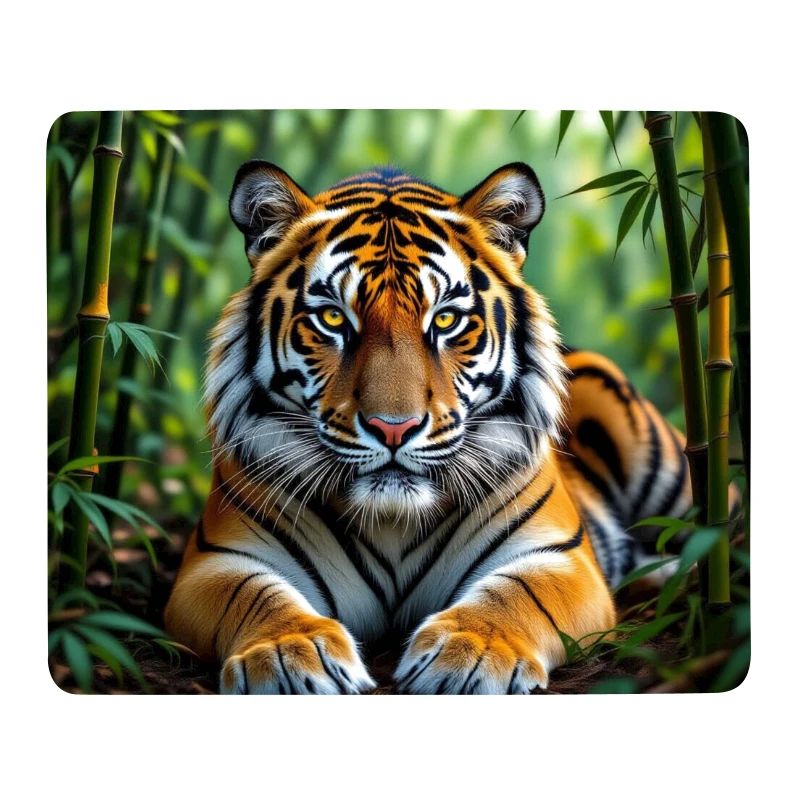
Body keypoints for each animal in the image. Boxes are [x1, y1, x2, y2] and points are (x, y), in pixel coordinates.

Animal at [164, 161, 695, 694]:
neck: (392, 523)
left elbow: (515, 594)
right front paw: (287, 654)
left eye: (445, 320)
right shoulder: (217, 560)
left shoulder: (559, 556)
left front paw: (473, 655)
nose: (393, 428)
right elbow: (256, 595)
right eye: (333, 318)